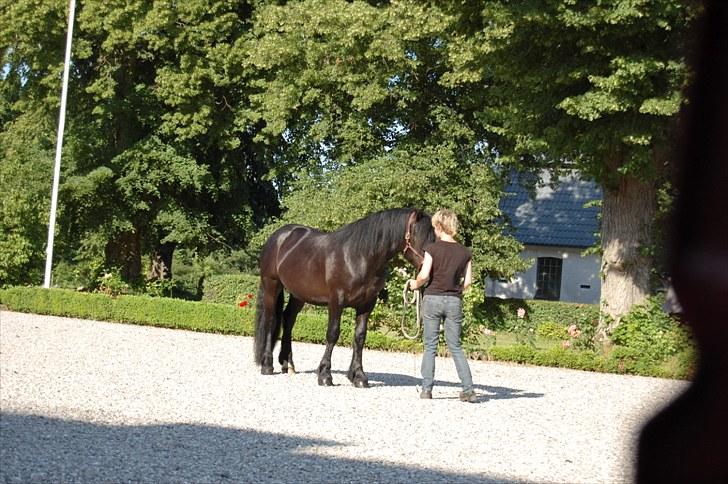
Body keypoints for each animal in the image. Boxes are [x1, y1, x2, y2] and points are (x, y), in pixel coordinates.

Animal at [252, 206, 432, 388]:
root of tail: (279, 236)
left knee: (288, 320)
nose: (428, 273)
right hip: (271, 285)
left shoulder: (367, 304)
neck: (359, 257)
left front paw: (358, 376)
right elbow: (333, 334)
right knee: (271, 320)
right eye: (420, 236)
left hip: (298, 294)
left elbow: (359, 337)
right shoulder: (336, 301)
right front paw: (325, 375)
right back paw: (267, 365)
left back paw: (288, 364)